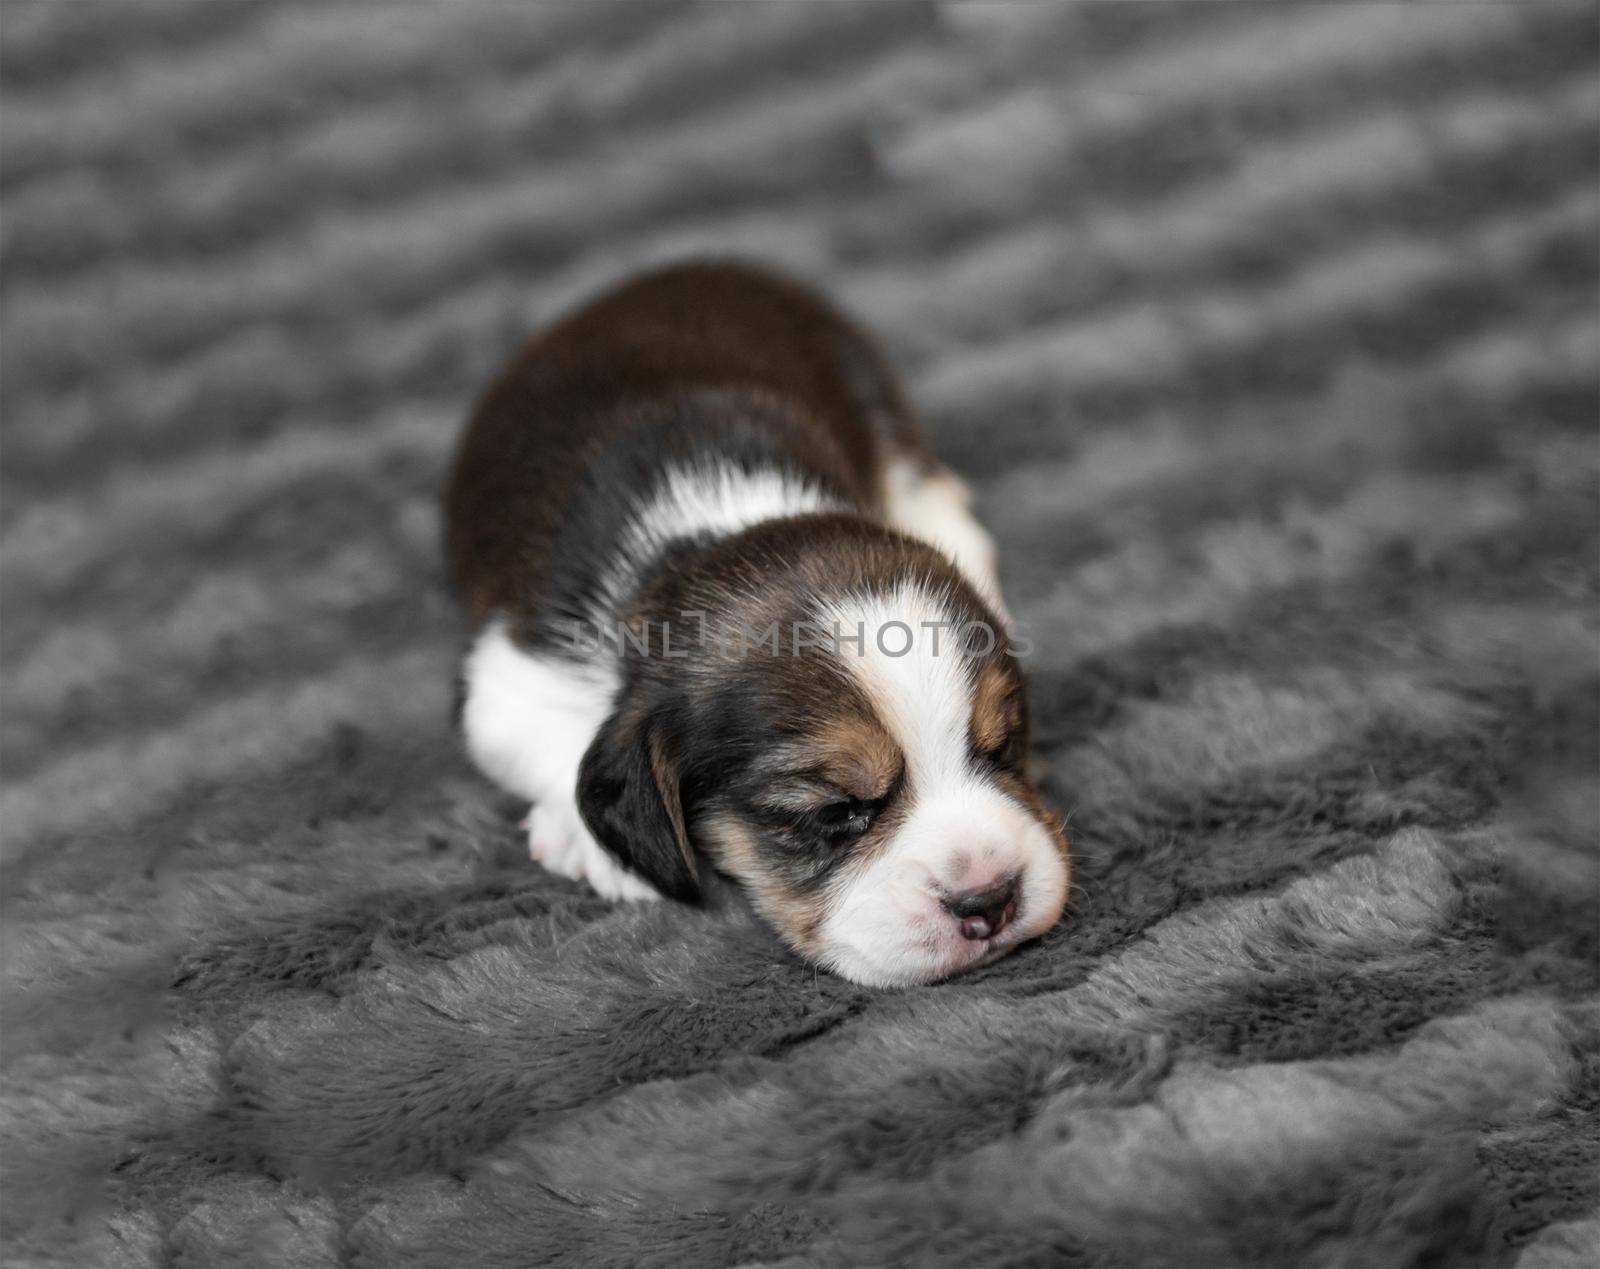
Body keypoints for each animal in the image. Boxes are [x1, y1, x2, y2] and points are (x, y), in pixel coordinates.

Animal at [444, 262, 1068, 985]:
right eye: (833, 812)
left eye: (1001, 748)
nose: (990, 899)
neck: (721, 527)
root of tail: (682, 270)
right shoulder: (512, 677)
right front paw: (592, 843)